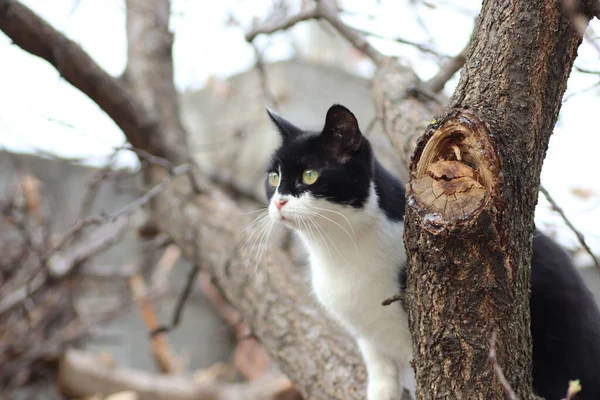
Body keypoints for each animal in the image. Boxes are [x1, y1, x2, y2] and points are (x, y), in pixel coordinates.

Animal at [264, 104, 600, 400]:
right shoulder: (368, 335)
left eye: (310, 175)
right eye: (273, 178)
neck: (338, 249)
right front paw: (382, 392)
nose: (278, 202)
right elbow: (380, 367)